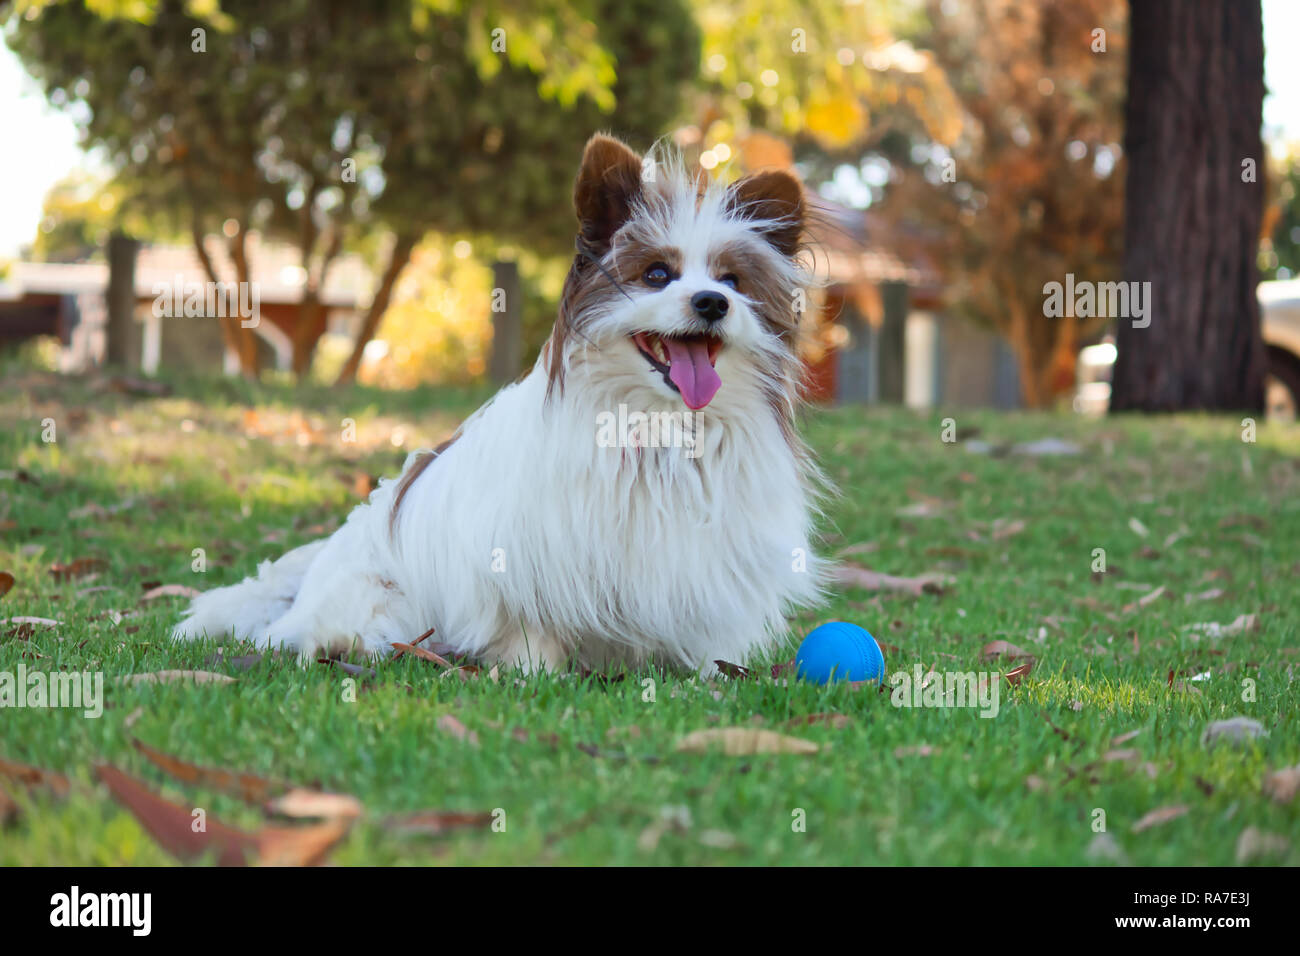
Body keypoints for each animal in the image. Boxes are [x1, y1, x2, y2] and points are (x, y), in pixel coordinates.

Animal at [172, 134, 826, 671]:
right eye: (657, 274)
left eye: (733, 281)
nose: (713, 303)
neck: (655, 425)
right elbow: (531, 630)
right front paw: (534, 673)